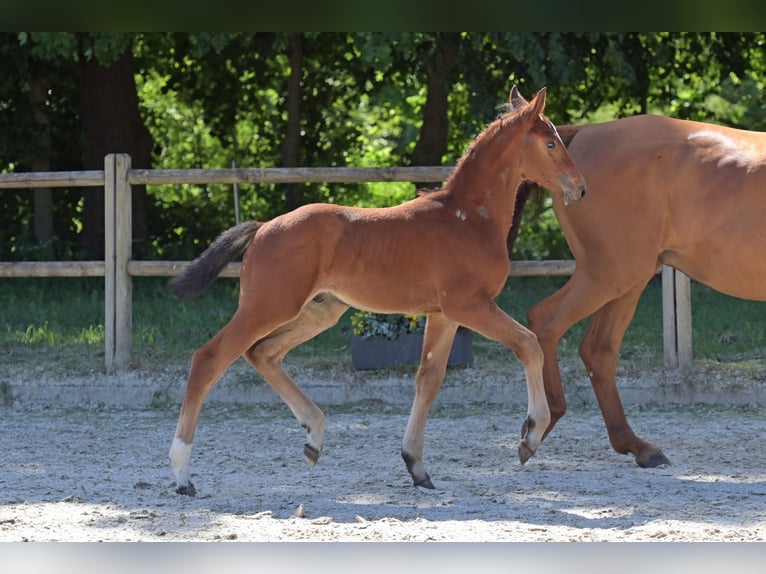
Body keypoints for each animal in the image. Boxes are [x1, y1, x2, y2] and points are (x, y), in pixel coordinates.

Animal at [167, 86, 587, 496]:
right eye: (550, 142)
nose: (580, 188)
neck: (467, 219)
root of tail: (264, 227)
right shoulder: (470, 305)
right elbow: (529, 344)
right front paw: (530, 437)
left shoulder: (444, 315)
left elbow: (428, 379)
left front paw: (416, 467)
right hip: (268, 306)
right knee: (210, 359)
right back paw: (182, 475)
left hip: (320, 310)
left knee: (263, 353)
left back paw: (313, 438)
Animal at [522, 113, 766, 468]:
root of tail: (584, 134)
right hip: (608, 276)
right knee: (546, 321)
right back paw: (539, 426)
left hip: (626, 282)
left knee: (598, 350)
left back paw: (637, 447)